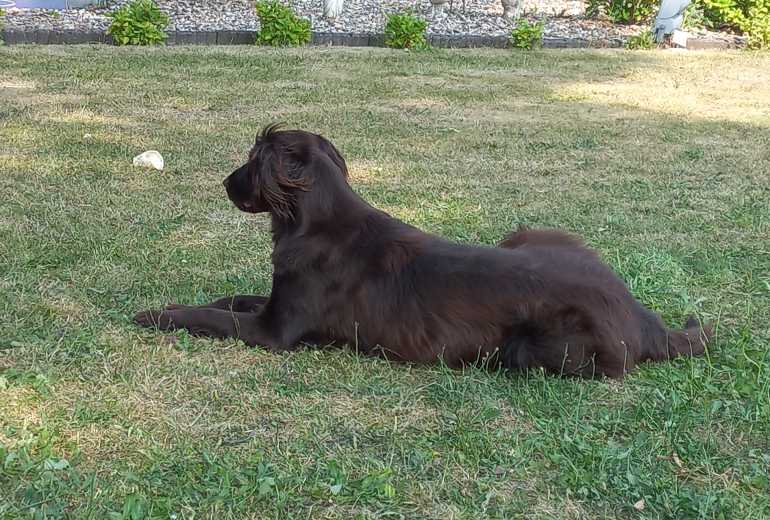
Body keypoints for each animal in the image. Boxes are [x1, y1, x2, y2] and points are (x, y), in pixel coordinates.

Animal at [135, 125, 712, 378]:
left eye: (252, 161)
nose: (225, 183)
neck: (318, 221)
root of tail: (646, 319)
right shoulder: (276, 302)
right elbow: (232, 299)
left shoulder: (275, 332)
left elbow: (214, 317)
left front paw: (158, 314)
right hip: (533, 234)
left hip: (527, 348)